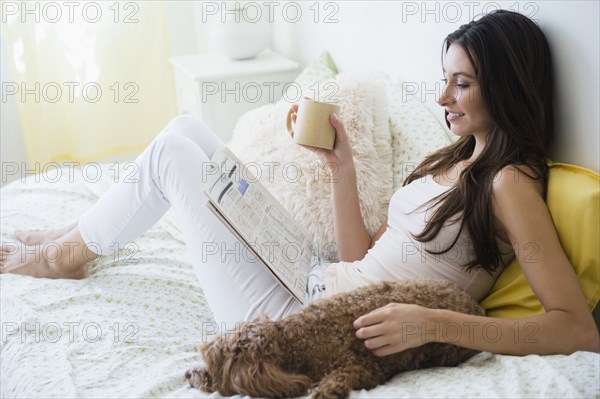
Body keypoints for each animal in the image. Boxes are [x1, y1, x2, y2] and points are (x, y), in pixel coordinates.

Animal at [185, 280, 486, 398]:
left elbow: (337, 380)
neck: (294, 340)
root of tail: (477, 308)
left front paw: (323, 391)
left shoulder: (364, 368)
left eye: (210, 365)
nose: (188, 374)